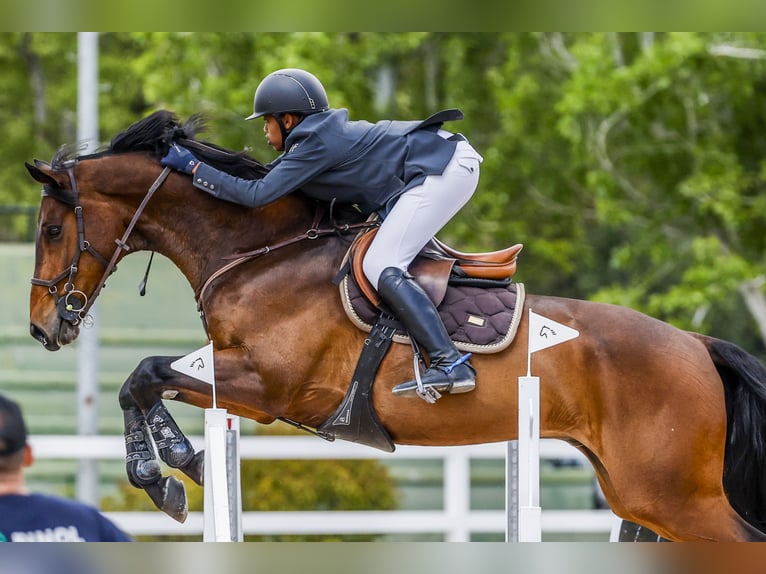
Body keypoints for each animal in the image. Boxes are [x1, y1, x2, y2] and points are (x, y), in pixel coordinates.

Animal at [24, 110, 766, 542]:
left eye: (53, 229)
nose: (40, 330)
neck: (259, 252)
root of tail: (698, 345)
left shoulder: (265, 382)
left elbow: (144, 373)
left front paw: (171, 473)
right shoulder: (243, 386)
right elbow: (144, 381)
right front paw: (184, 469)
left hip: (674, 497)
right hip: (638, 496)